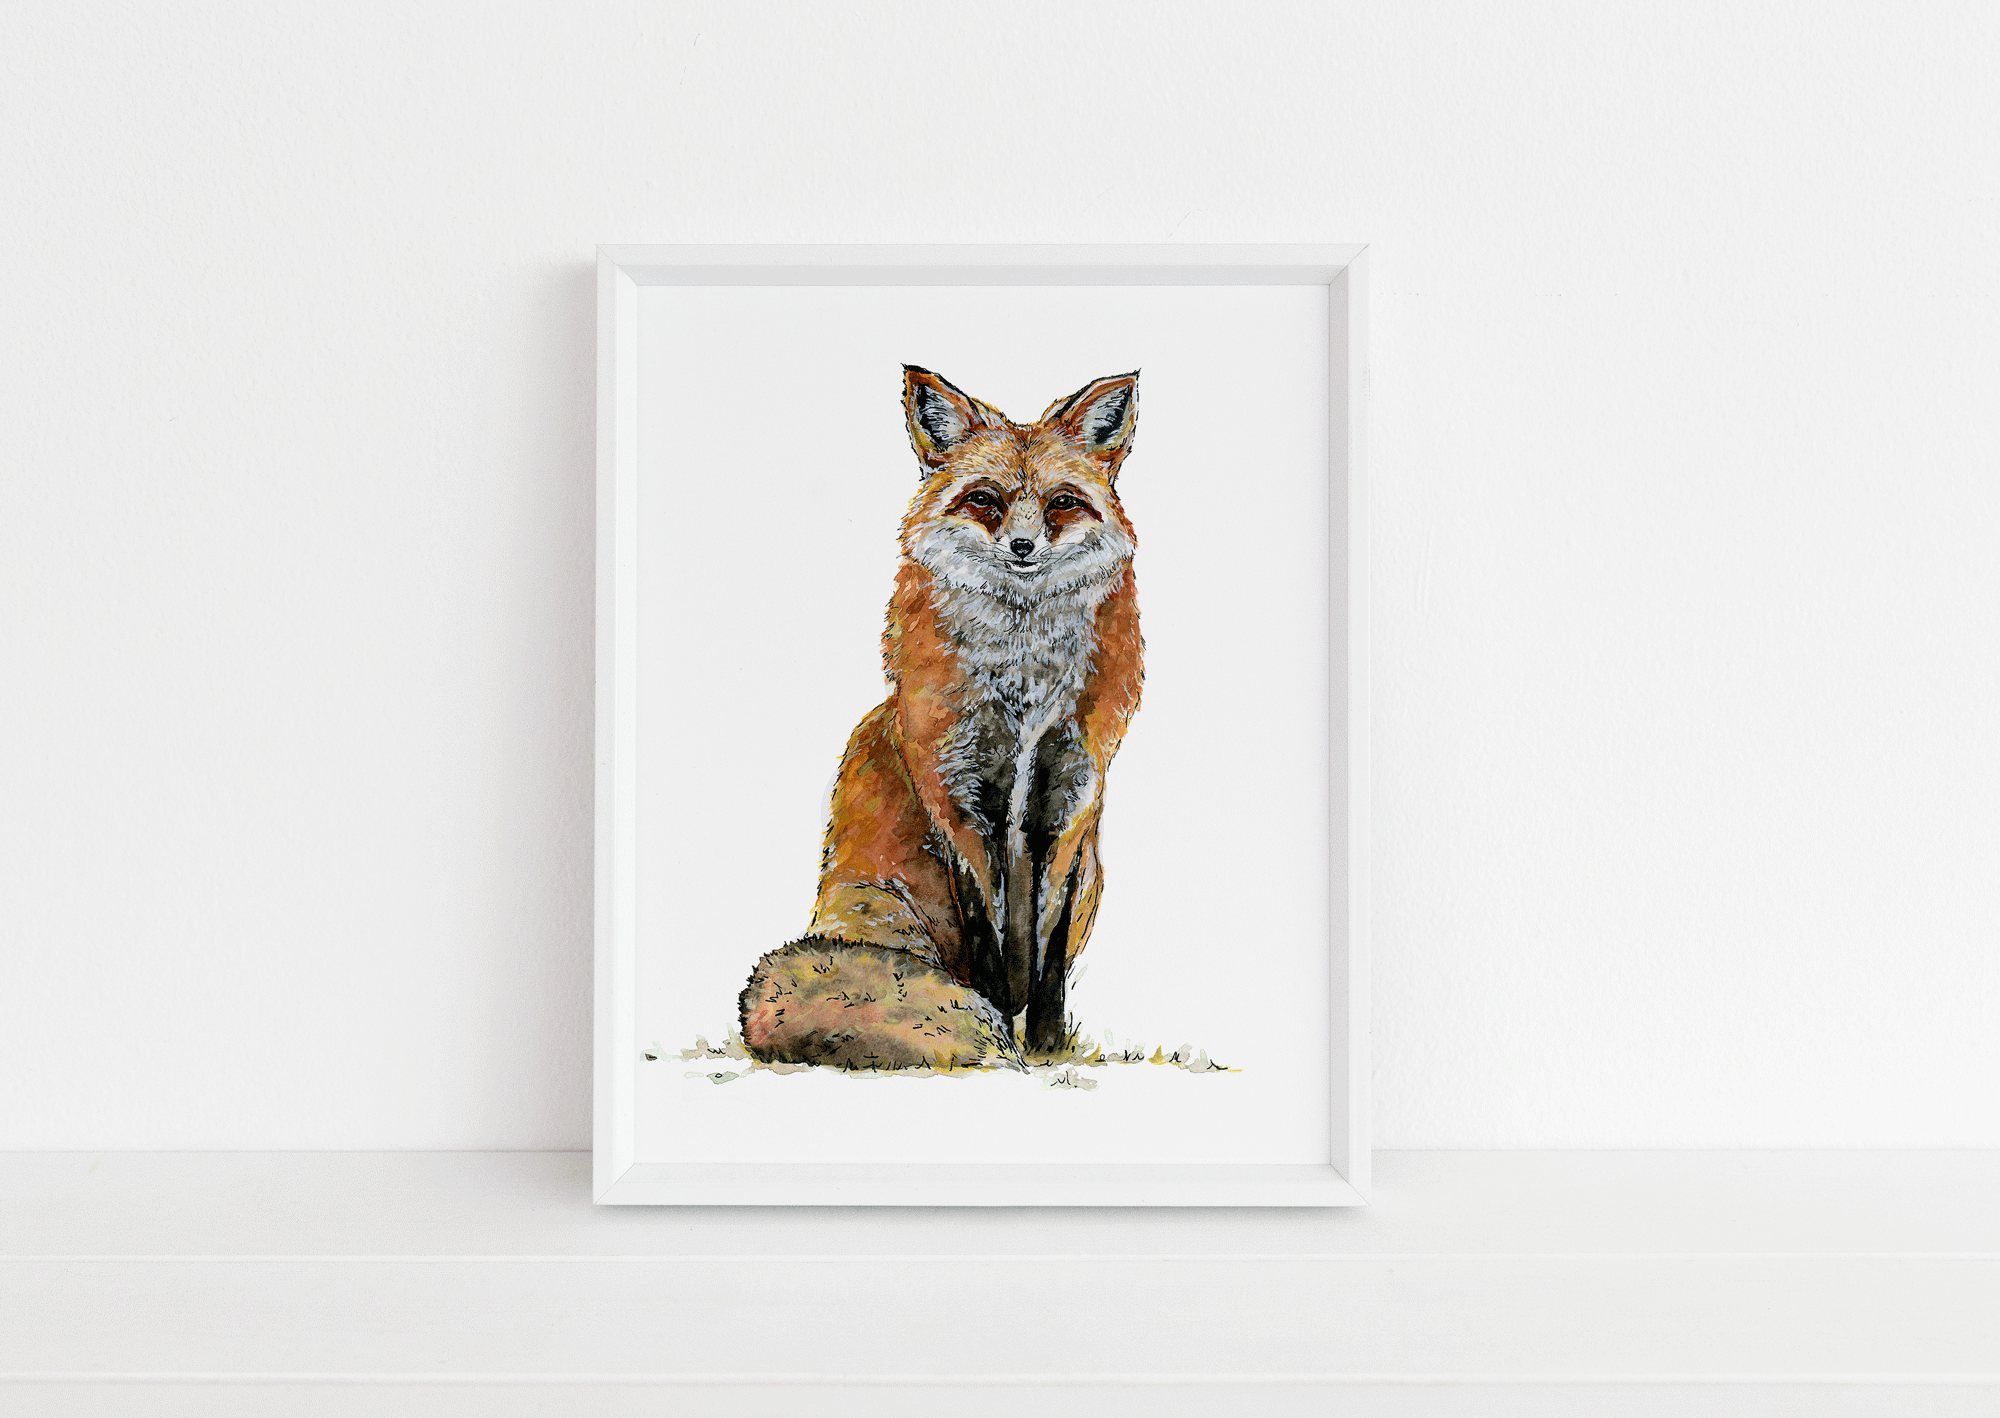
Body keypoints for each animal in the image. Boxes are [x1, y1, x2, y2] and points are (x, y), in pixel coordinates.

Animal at [739, 365, 1145, 1070]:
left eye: (1062, 503)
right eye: (985, 500)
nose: (1022, 545)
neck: (1023, 692)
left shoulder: (1071, 799)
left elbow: (1048, 955)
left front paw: (1046, 1046)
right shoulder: (954, 792)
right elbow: (985, 943)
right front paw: (1002, 1033)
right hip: (881, 907)